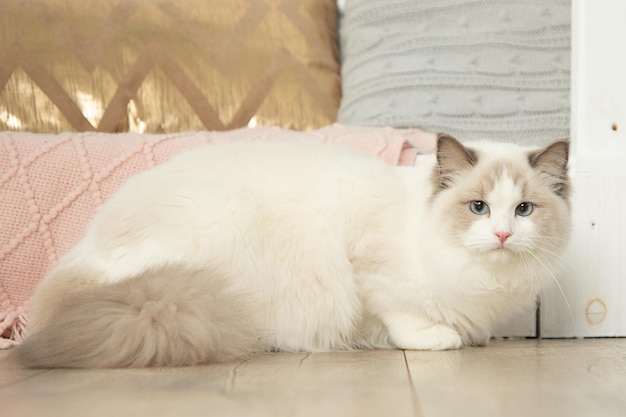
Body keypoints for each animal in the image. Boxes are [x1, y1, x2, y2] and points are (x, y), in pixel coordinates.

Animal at [12, 133, 572, 368]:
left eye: (523, 210)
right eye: (478, 207)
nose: (502, 236)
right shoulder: (369, 268)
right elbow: (402, 315)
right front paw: (441, 339)